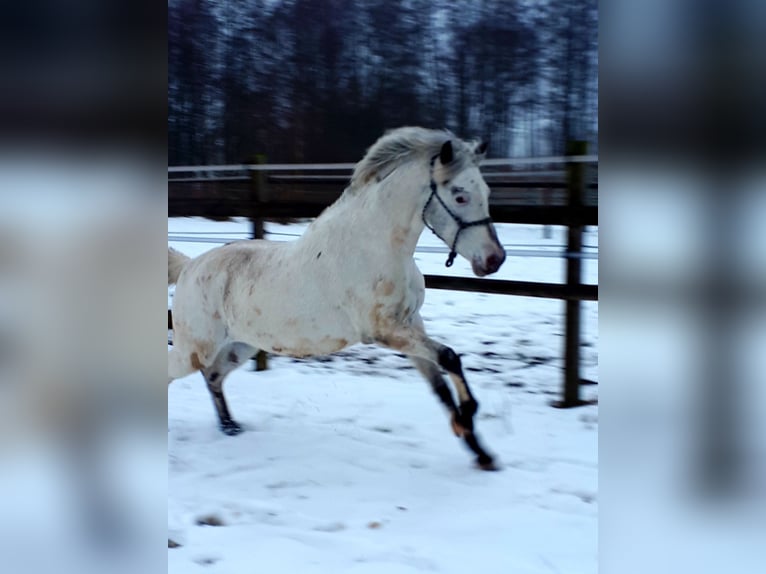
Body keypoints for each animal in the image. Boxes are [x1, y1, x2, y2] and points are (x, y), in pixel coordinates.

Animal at [168, 126, 506, 470]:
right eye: (460, 195)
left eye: (487, 192)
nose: (495, 260)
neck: (376, 248)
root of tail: (189, 267)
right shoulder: (384, 332)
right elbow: (449, 357)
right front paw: (468, 418)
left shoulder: (411, 323)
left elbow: (439, 382)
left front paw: (481, 452)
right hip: (196, 349)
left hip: (241, 345)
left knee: (213, 377)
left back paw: (231, 427)